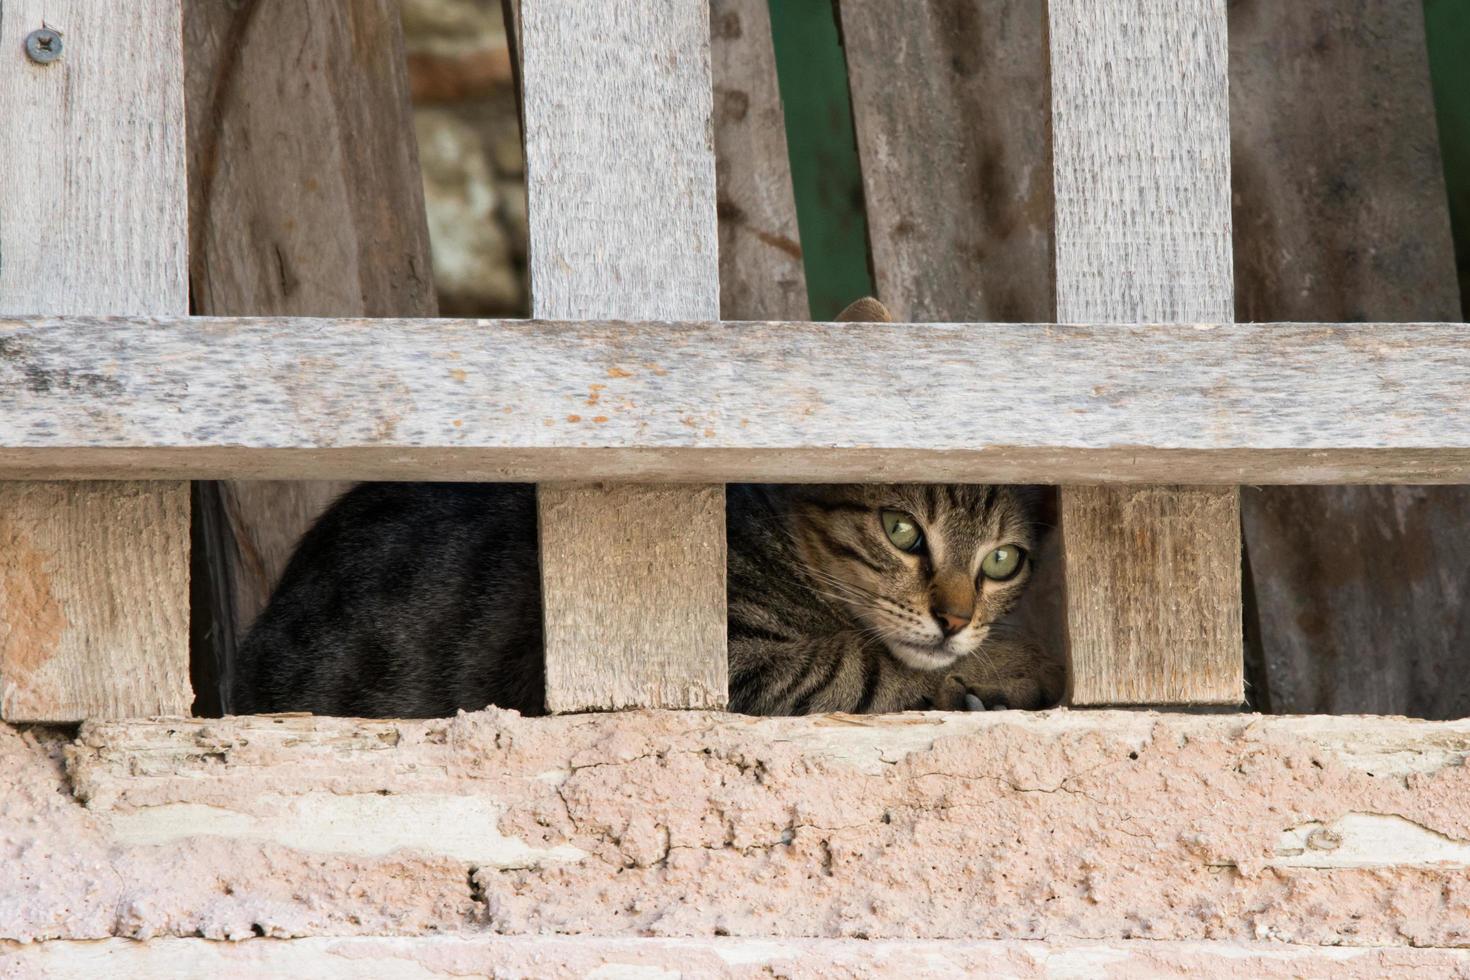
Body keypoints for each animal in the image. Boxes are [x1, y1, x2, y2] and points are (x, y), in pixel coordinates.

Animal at [229, 299, 1064, 719]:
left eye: (1001, 560)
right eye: (901, 530)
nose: (955, 618)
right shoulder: (716, 656)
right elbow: (858, 662)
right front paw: (1016, 664)